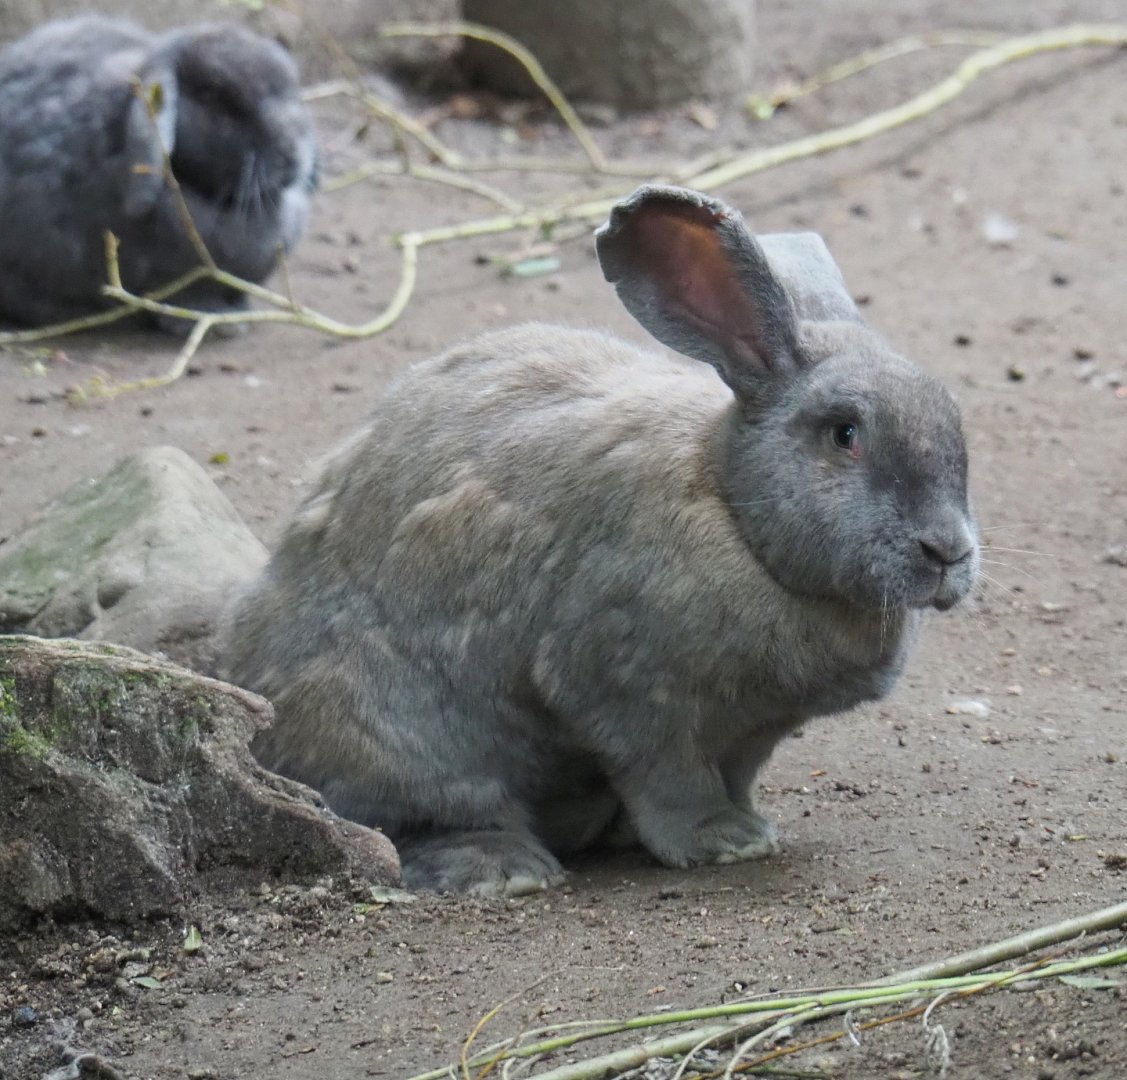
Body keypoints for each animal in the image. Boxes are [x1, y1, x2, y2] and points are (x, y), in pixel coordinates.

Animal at [224, 184, 980, 897]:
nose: (948, 552)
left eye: (954, 421)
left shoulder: (754, 732)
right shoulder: (625, 693)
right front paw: (722, 841)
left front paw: (749, 827)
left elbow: (735, 773)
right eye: (844, 434)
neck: (734, 512)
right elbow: (670, 780)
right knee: (410, 821)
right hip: (406, 741)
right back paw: (503, 870)